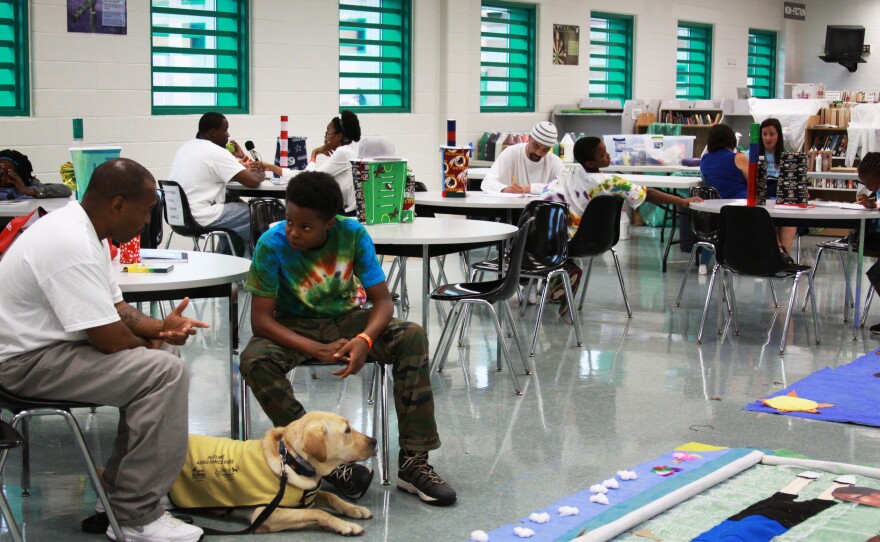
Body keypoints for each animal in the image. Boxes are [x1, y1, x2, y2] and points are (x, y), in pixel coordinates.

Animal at [168, 414, 374, 536]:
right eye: (347, 430)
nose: (375, 441)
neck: (291, 460)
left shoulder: (308, 495)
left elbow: (331, 496)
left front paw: (354, 509)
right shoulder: (265, 514)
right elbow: (317, 511)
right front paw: (344, 525)